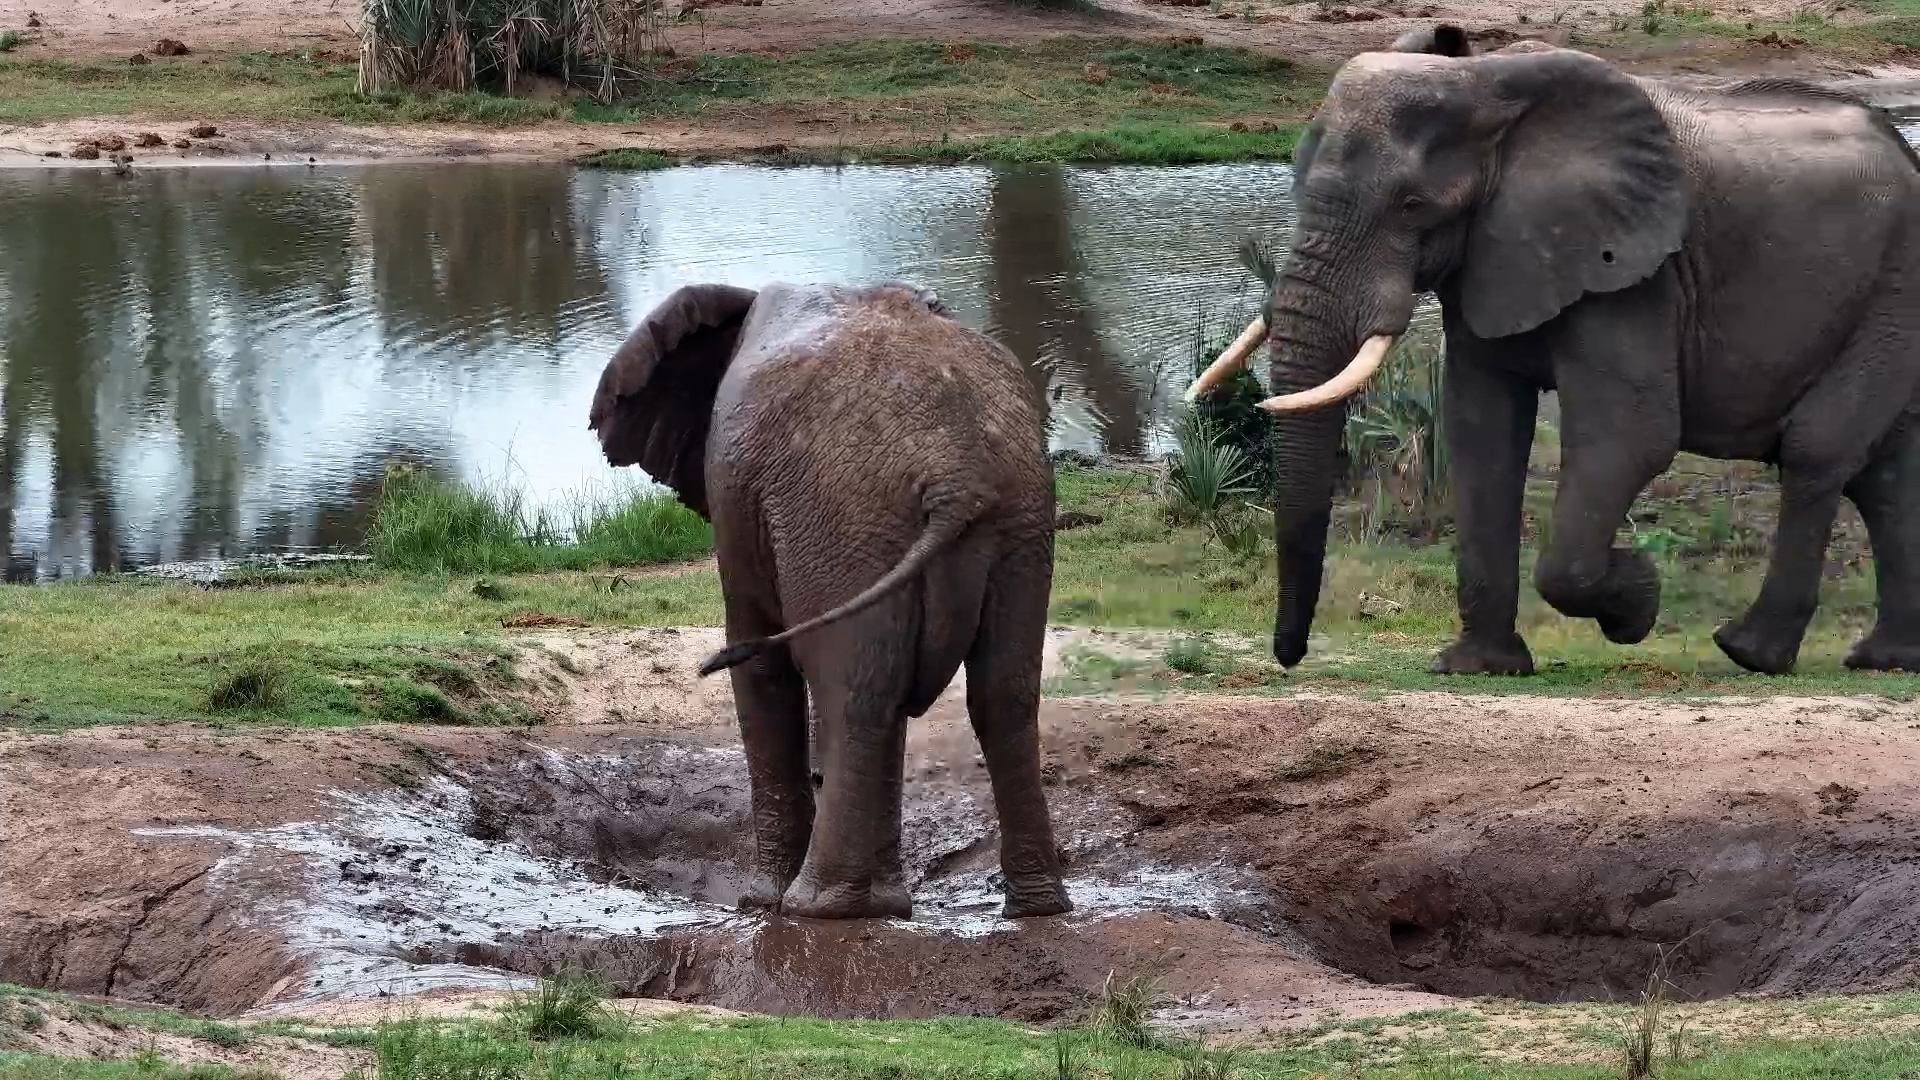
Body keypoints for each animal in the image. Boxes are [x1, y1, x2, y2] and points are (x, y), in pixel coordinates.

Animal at [588, 280, 1073, 920]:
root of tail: (957, 473)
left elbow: (760, 667)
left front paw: (759, 901)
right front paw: (886, 904)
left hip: (841, 516)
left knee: (854, 693)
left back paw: (815, 907)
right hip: (1016, 515)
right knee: (1000, 694)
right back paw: (1035, 907)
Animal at [1189, 34, 1920, 676]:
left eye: (1413, 204)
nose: (1289, 657)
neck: (1486, 87)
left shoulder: (1636, 276)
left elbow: (1629, 437)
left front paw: (1638, 594)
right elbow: (1480, 430)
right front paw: (1478, 669)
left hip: (1893, 294)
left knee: (1818, 450)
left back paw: (1750, 652)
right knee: (1884, 475)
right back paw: (1884, 660)